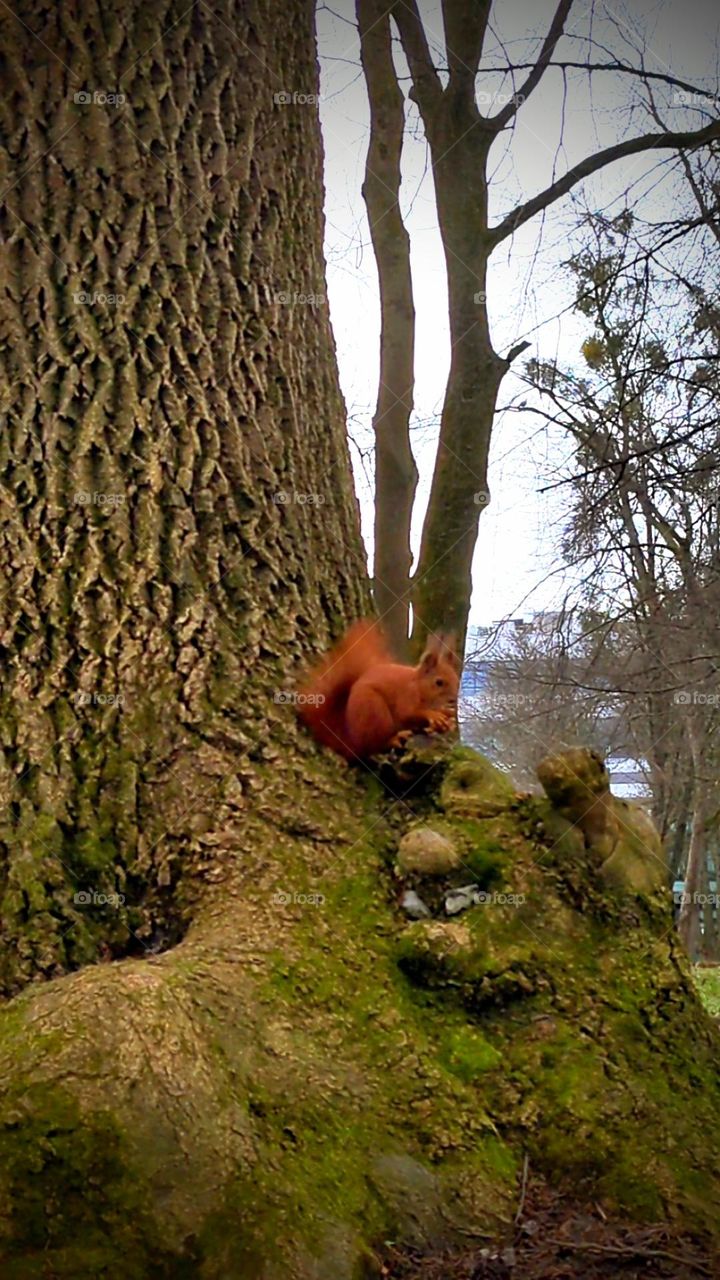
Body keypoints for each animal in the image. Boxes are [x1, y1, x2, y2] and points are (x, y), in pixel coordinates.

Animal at [296, 618, 461, 761]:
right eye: (439, 682)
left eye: (457, 680)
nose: (453, 700)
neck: (419, 686)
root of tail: (351, 741)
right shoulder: (407, 695)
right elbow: (408, 713)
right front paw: (433, 715)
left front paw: (447, 717)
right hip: (375, 710)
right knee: (374, 746)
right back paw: (394, 739)